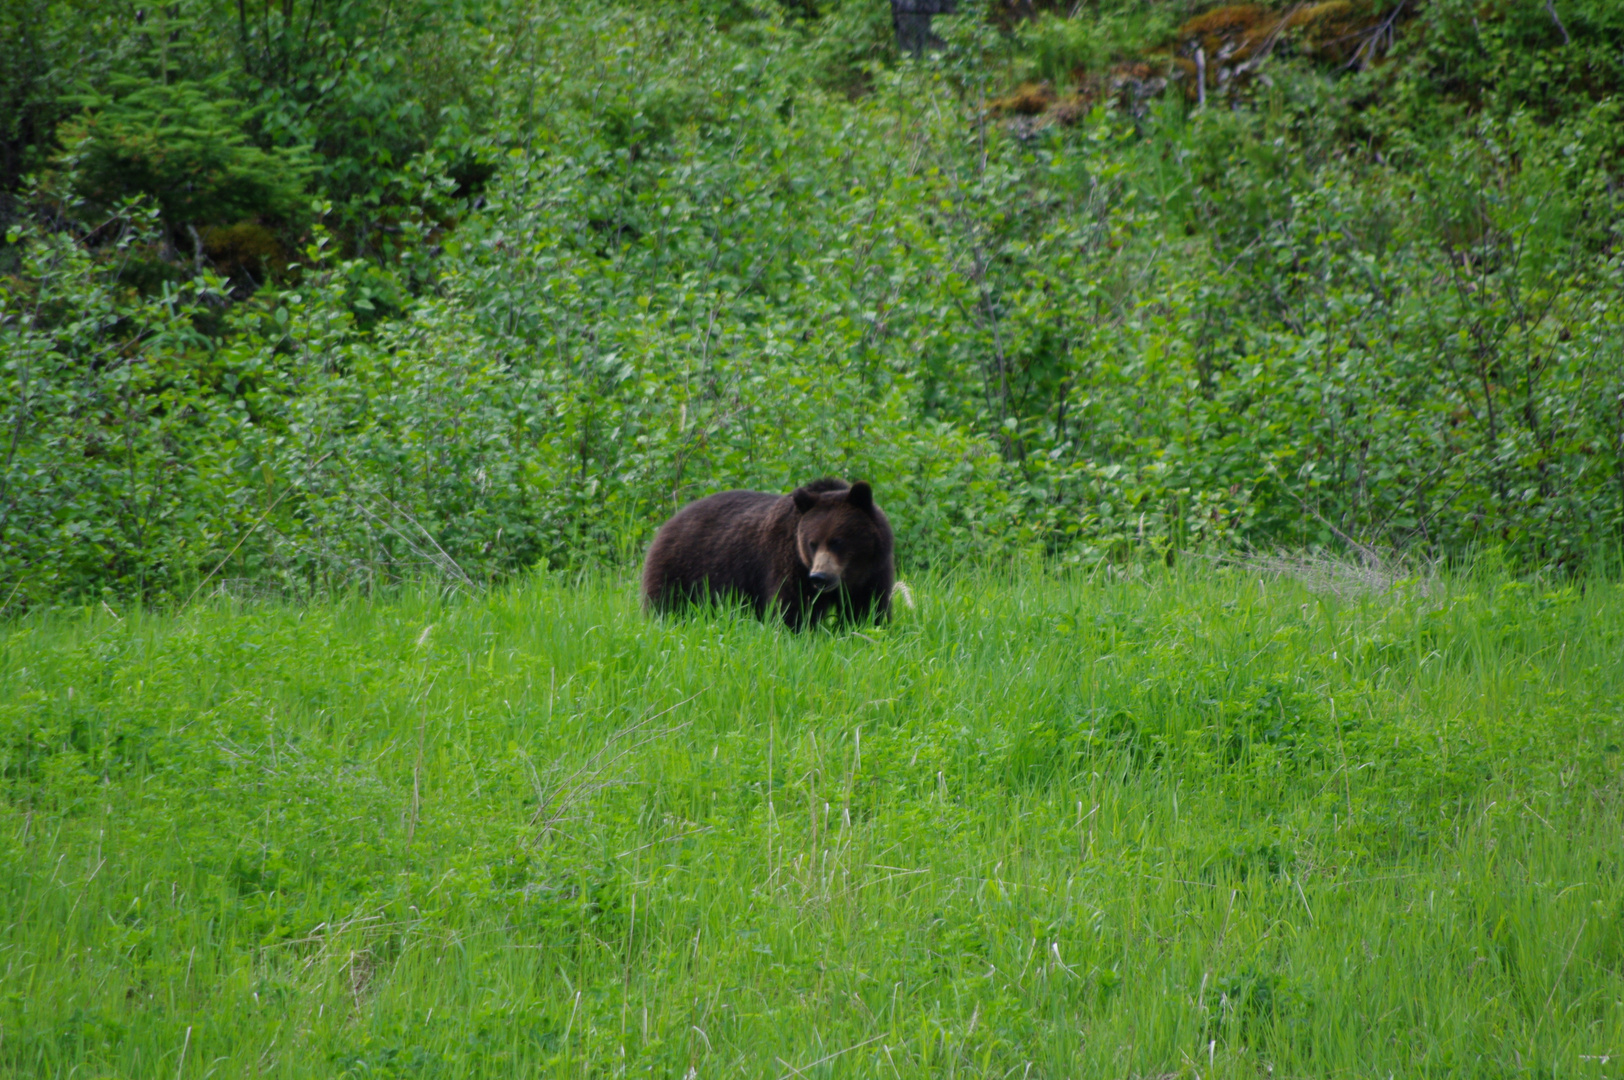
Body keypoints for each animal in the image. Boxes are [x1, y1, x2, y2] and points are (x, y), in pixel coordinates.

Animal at [639, 477, 896, 626]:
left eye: (837, 541)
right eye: (812, 543)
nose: (820, 577)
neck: (849, 577)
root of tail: (669, 522)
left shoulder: (874, 573)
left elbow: (868, 610)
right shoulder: (789, 565)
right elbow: (792, 610)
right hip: (681, 569)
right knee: (666, 606)